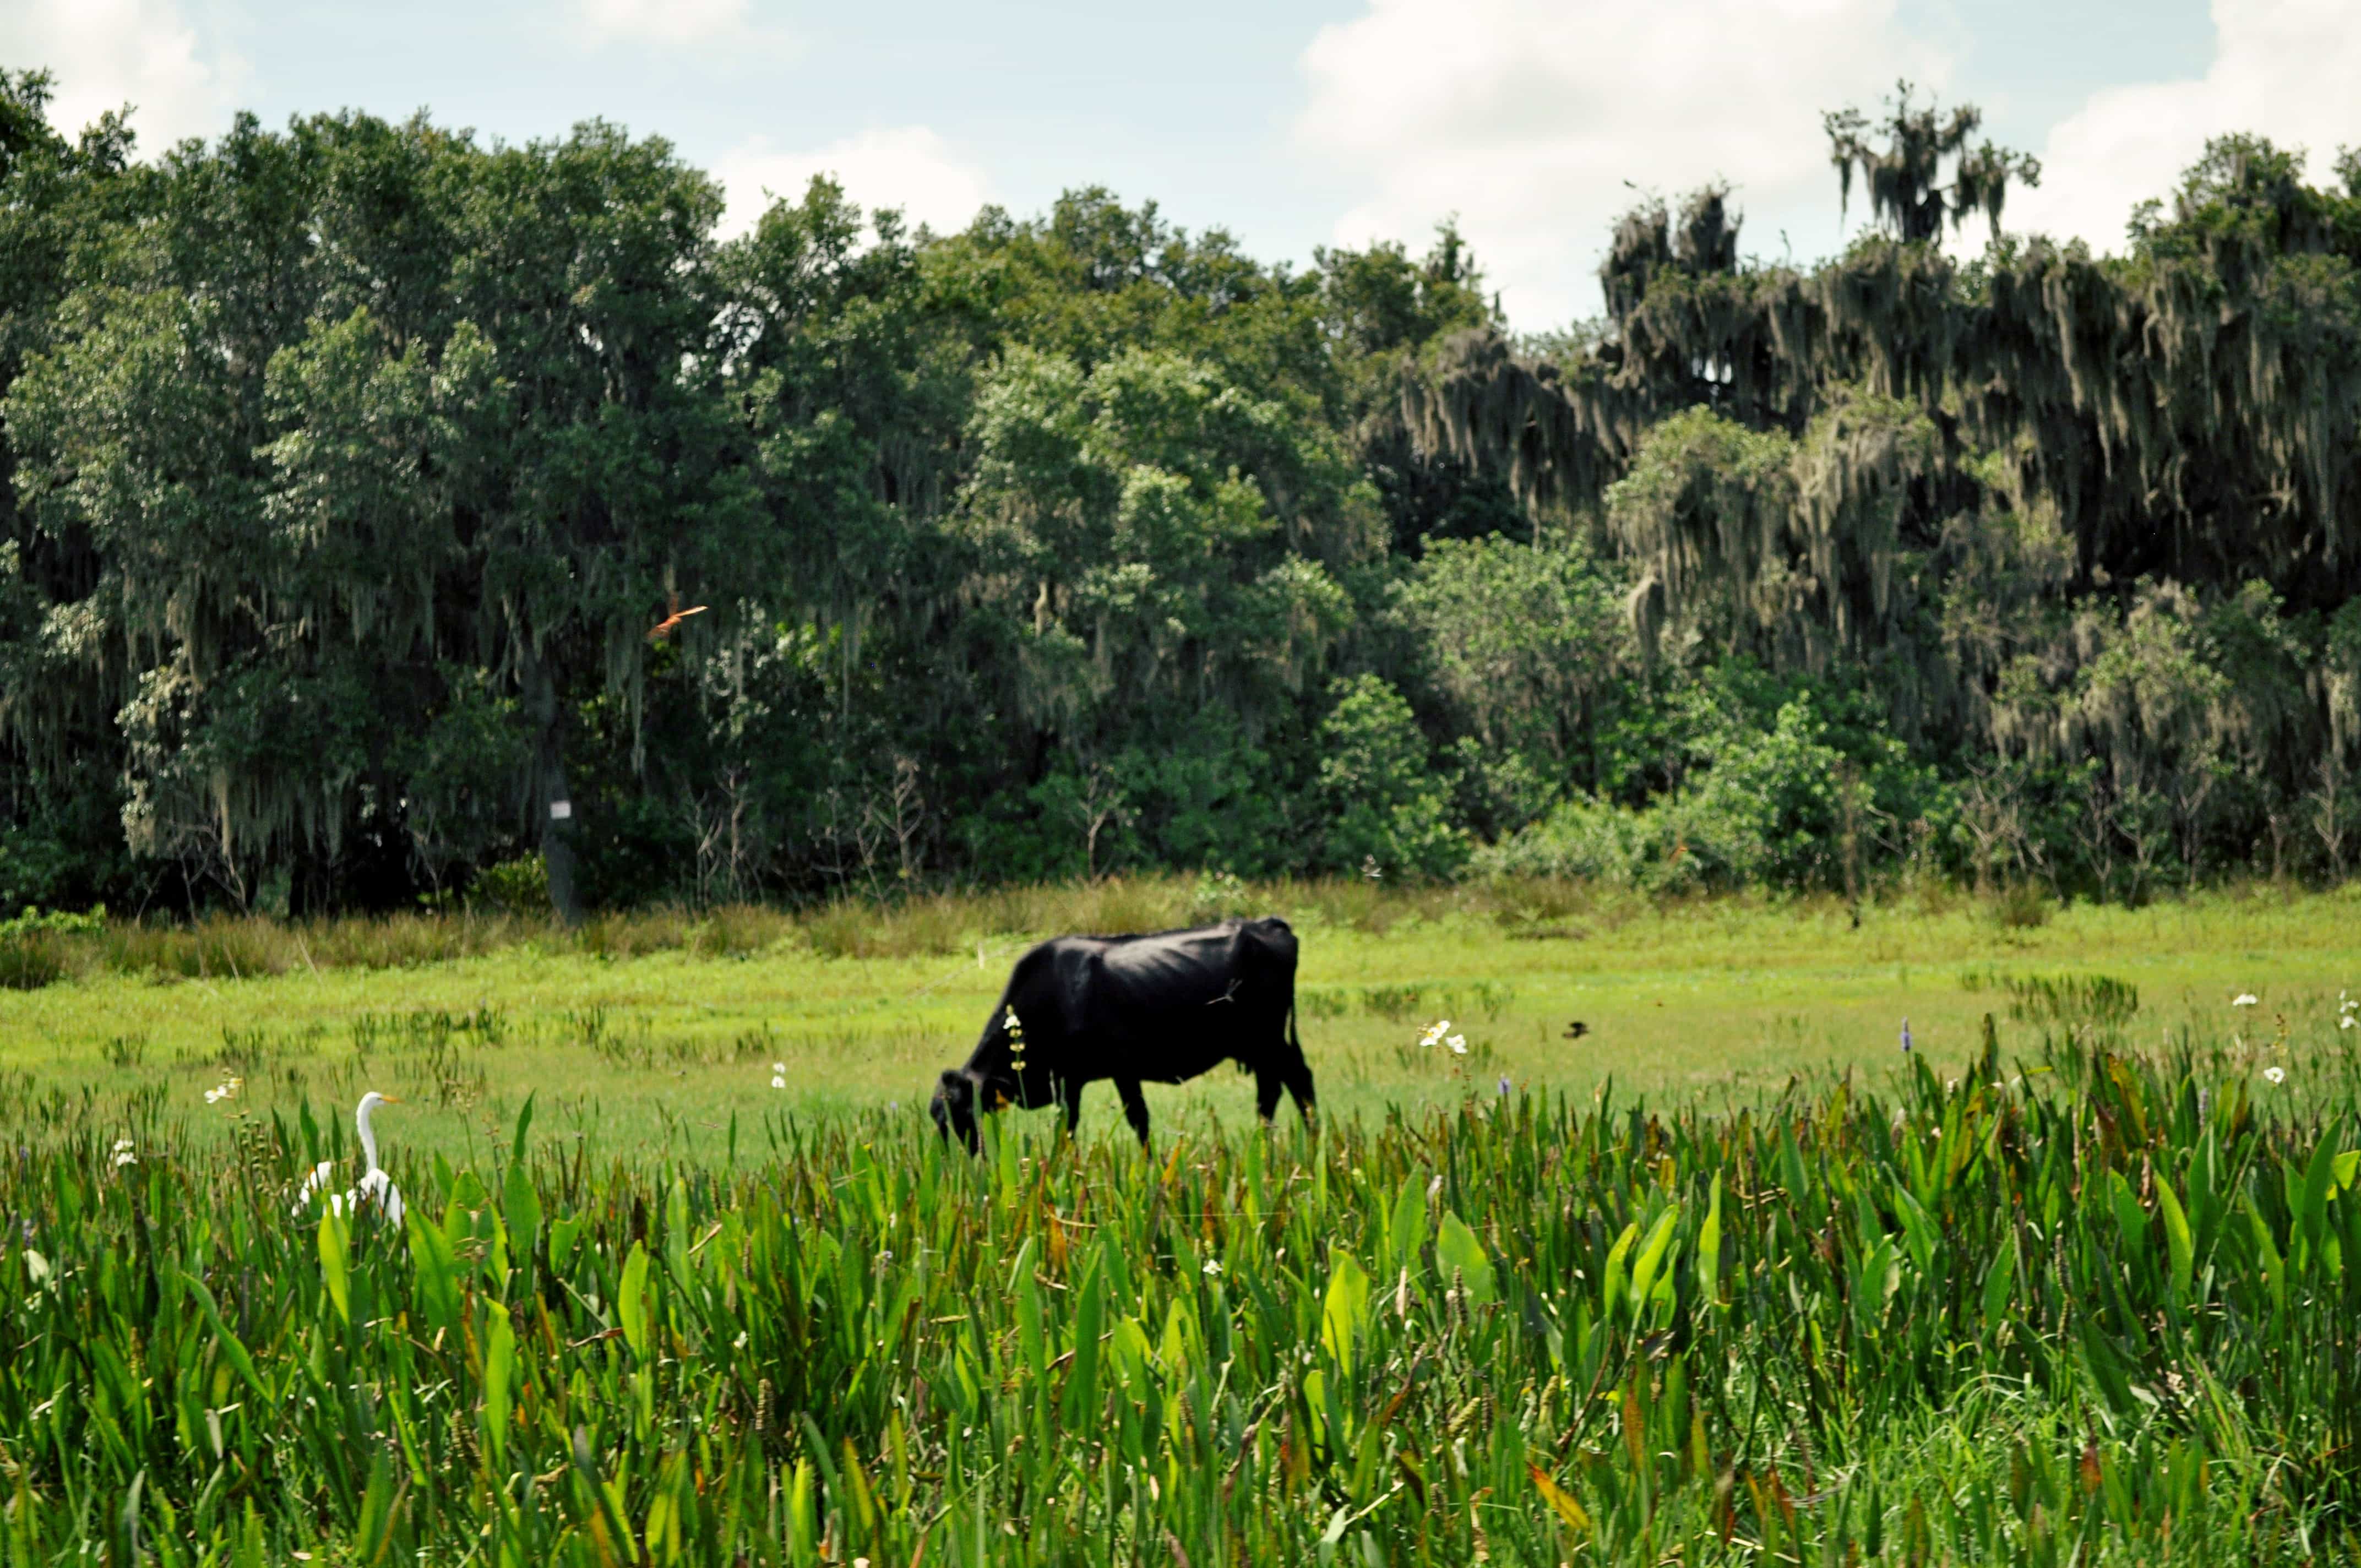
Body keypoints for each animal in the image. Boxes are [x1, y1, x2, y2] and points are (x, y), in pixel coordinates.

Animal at [930, 911, 1322, 1147]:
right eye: (937, 1118)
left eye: (960, 1115)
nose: (957, 1169)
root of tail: (1266, 925)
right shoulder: (1075, 1080)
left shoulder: (1111, 1072)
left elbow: (1129, 1122)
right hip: (1260, 1046)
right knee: (1279, 1087)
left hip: (1267, 1040)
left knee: (1291, 1083)